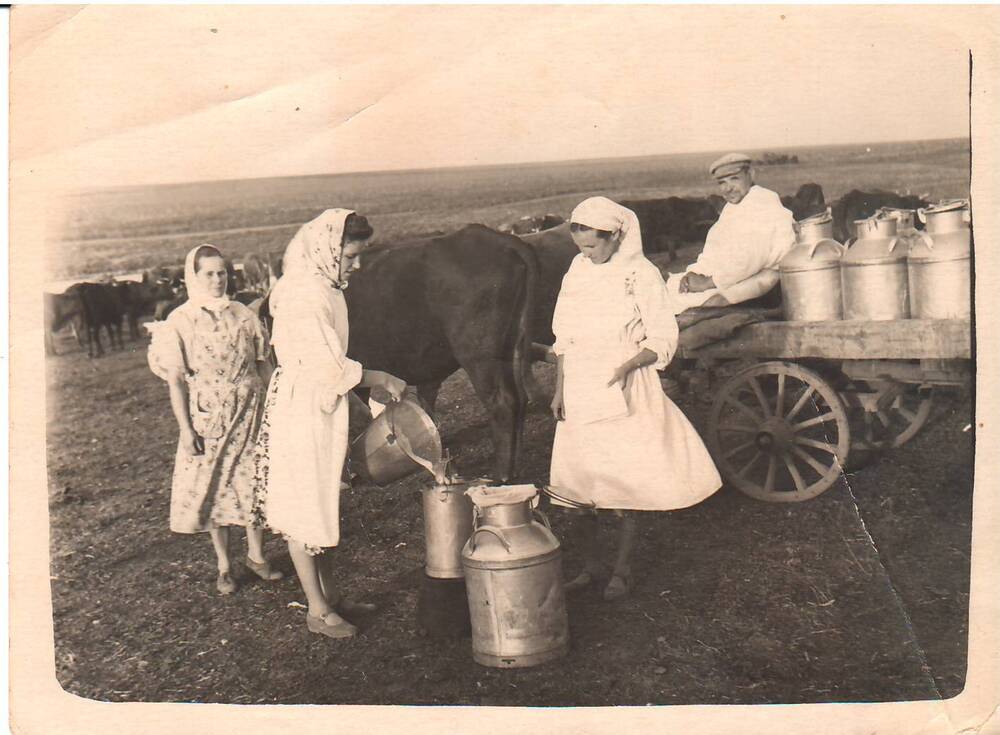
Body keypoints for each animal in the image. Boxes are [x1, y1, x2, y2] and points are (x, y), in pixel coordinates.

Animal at [258, 227, 540, 486]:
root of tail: (502, 240)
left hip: (480, 358)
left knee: (503, 402)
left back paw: (502, 474)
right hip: (513, 349)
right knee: (520, 398)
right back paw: (515, 466)